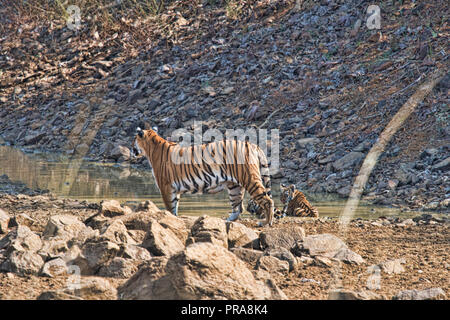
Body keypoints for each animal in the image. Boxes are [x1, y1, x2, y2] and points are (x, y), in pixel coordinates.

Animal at [132, 127, 274, 228]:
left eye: (134, 140)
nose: (132, 149)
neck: (151, 149)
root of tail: (252, 145)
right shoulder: (174, 189)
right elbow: (175, 207)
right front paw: (175, 220)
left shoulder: (166, 187)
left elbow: (170, 208)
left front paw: (170, 219)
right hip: (234, 186)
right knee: (238, 207)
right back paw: (227, 221)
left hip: (249, 178)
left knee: (267, 201)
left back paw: (265, 222)